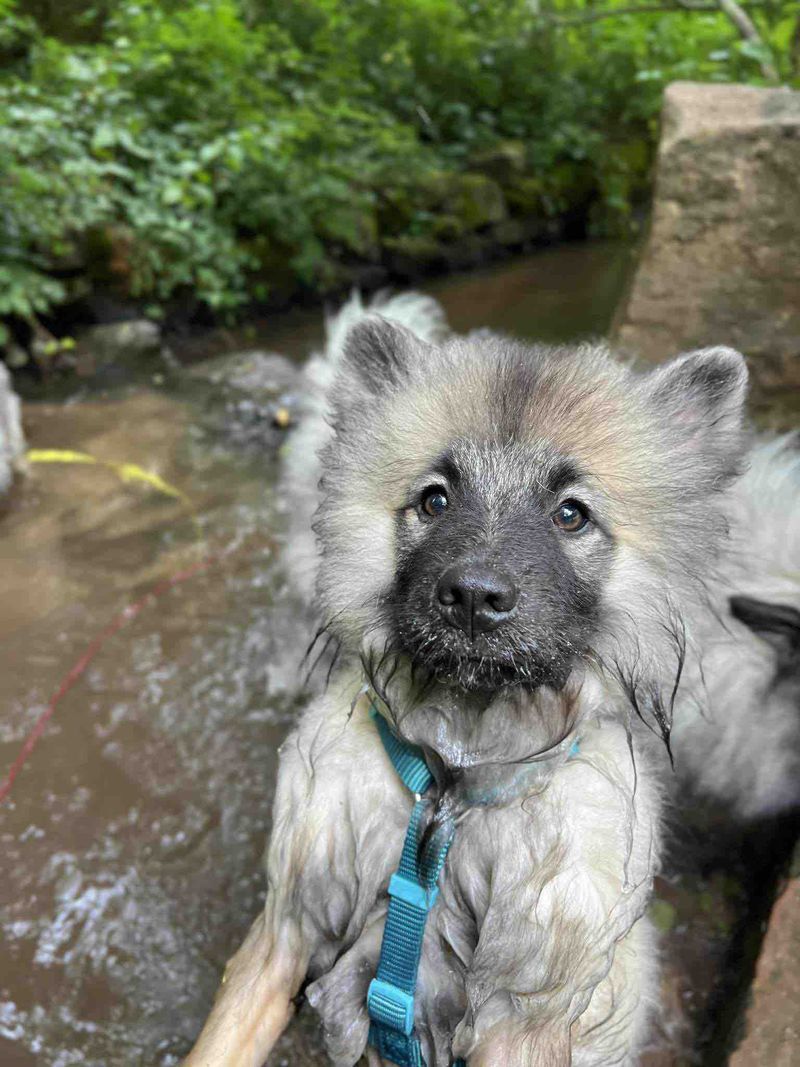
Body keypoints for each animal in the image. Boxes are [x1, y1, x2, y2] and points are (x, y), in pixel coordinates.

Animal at [185, 294, 800, 1067]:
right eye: (435, 500)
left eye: (571, 513)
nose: (474, 596)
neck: (454, 783)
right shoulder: (283, 934)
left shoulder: (523, 1017)